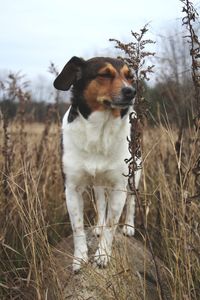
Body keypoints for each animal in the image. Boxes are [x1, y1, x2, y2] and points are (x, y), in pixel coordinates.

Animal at [53, 56, 141, 272]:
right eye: (105, 74)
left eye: (130, 76)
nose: (131, 91)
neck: (99, 131)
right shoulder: (72, 189)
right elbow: (77, 226)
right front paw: (79, 257)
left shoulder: (119, 187)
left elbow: (111, 225)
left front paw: (102, 255)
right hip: (98, 182)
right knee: (101, 203)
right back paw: (98, 226)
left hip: (135, 172)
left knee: (132, 200)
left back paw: (129, 226)